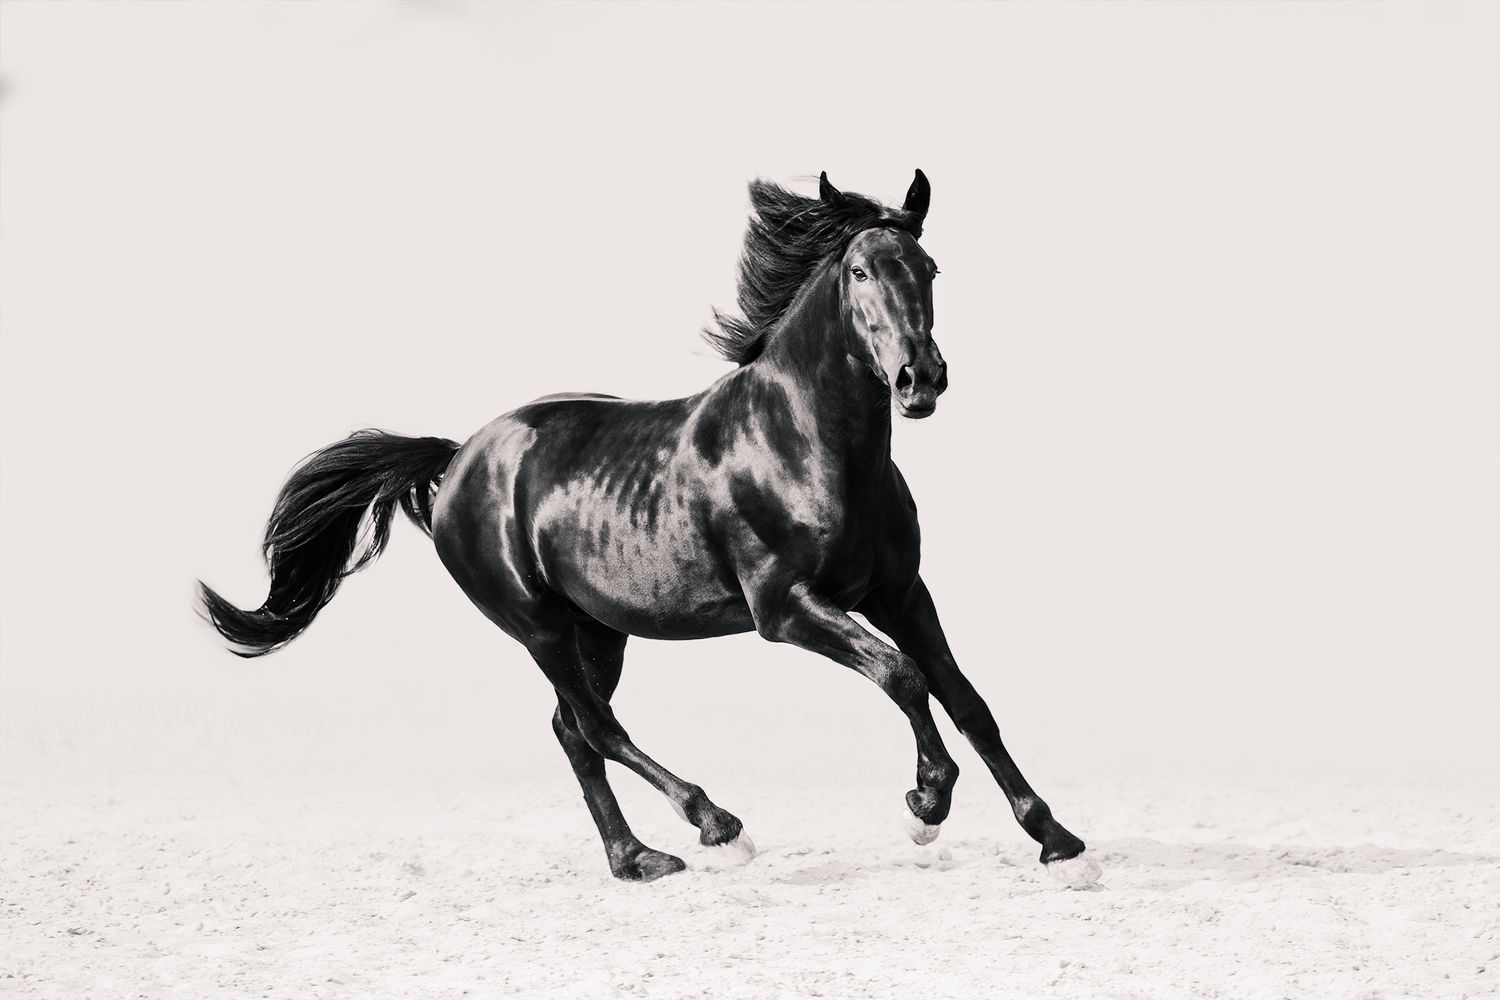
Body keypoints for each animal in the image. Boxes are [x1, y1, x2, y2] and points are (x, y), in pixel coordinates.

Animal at [198, 170, 1101, 888]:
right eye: (857, 271)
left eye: (928, 267)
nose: (921, 379)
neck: (807, 444)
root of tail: (459, 459)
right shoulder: (786, 608)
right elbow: (903, 677)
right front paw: (924, 804)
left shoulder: (901, 592)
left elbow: (968, 699)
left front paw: (1057, 840)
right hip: (538, 624)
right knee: (596, 727)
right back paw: (717, 828)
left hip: (600, 630)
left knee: (572, 730)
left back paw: (636, 859)